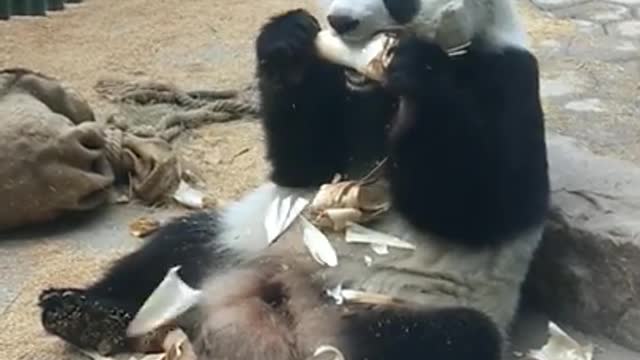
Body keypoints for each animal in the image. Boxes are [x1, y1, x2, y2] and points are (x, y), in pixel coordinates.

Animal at [38, 0, 552, 360]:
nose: (340, 22)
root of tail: (292, 310)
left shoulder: (506, 73)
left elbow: (488, 204)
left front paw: (415, 71)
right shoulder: (345, 98)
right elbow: (306, 163)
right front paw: (289, 42)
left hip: (407, 305)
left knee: (452, 338)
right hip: (244, 241)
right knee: (174, 250)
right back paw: (80, 314)